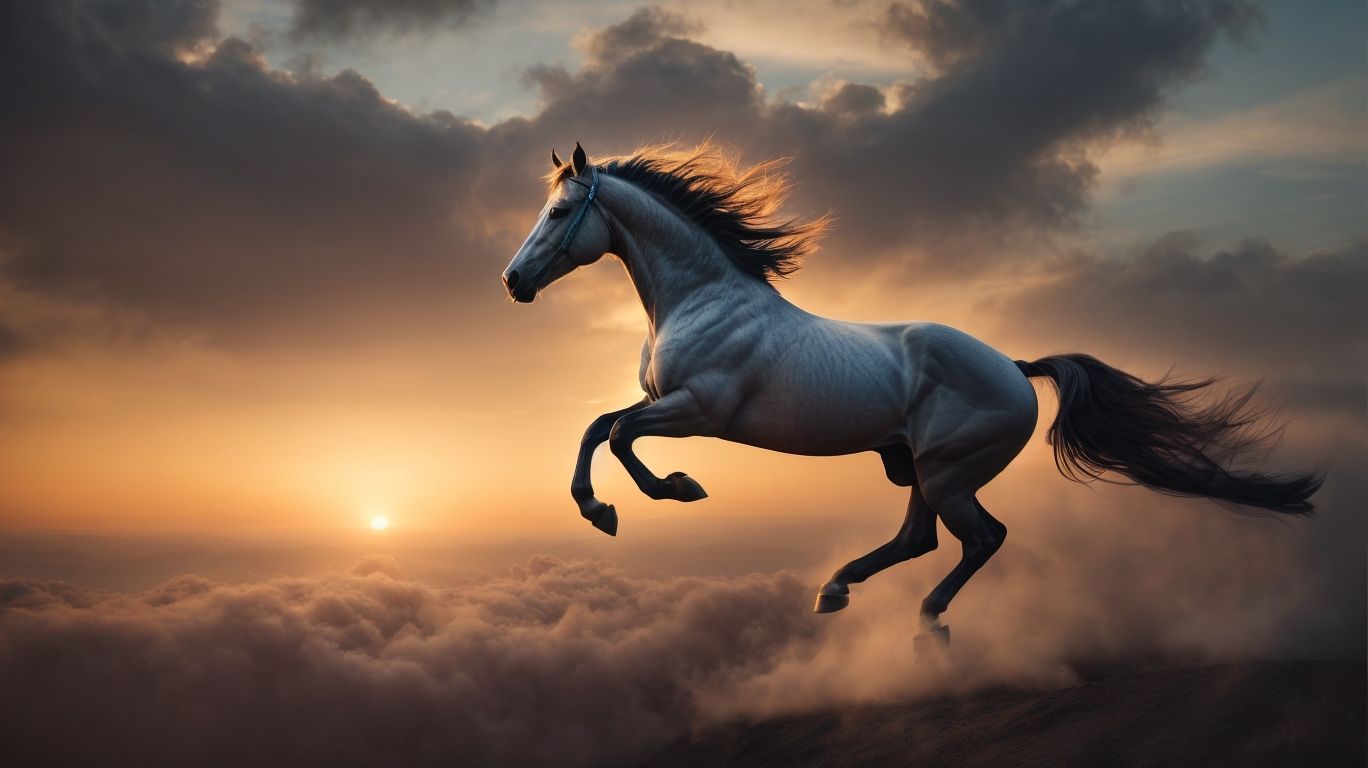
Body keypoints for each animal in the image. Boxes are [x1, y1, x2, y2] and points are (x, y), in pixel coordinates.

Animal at [500, 141, 1322, 639]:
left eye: (560, 212)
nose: (513, 281)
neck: (702, 298)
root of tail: (1015, 369)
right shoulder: (667, 404)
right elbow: (597, 425)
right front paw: (602, 507)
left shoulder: (699, 410)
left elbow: (617, 434)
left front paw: (664, 492)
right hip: (917, 466)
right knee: (918, 538)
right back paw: (835, 591)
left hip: (949, 470)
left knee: (978, 538)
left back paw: (926, 621)